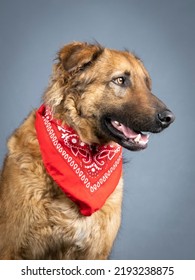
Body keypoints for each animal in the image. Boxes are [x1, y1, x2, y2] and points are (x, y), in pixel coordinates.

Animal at [0, 42, 174, 260]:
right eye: (120, 80)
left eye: (146, 84)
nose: (169, 118)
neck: (86, 155)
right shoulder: (10, 248)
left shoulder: (96, 251)